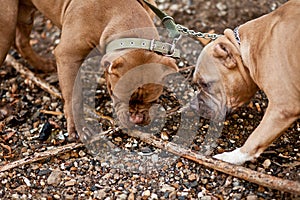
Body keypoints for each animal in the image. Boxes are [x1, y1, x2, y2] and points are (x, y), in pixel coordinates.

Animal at [0, 0, 178, 141]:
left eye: (152, 100)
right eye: (116, 95)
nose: (136, 118)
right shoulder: (68, 56)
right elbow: (74, 96)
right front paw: (78, 126)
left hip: (25, 14)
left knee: (21, 41)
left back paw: (42, 65)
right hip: (6, 26)